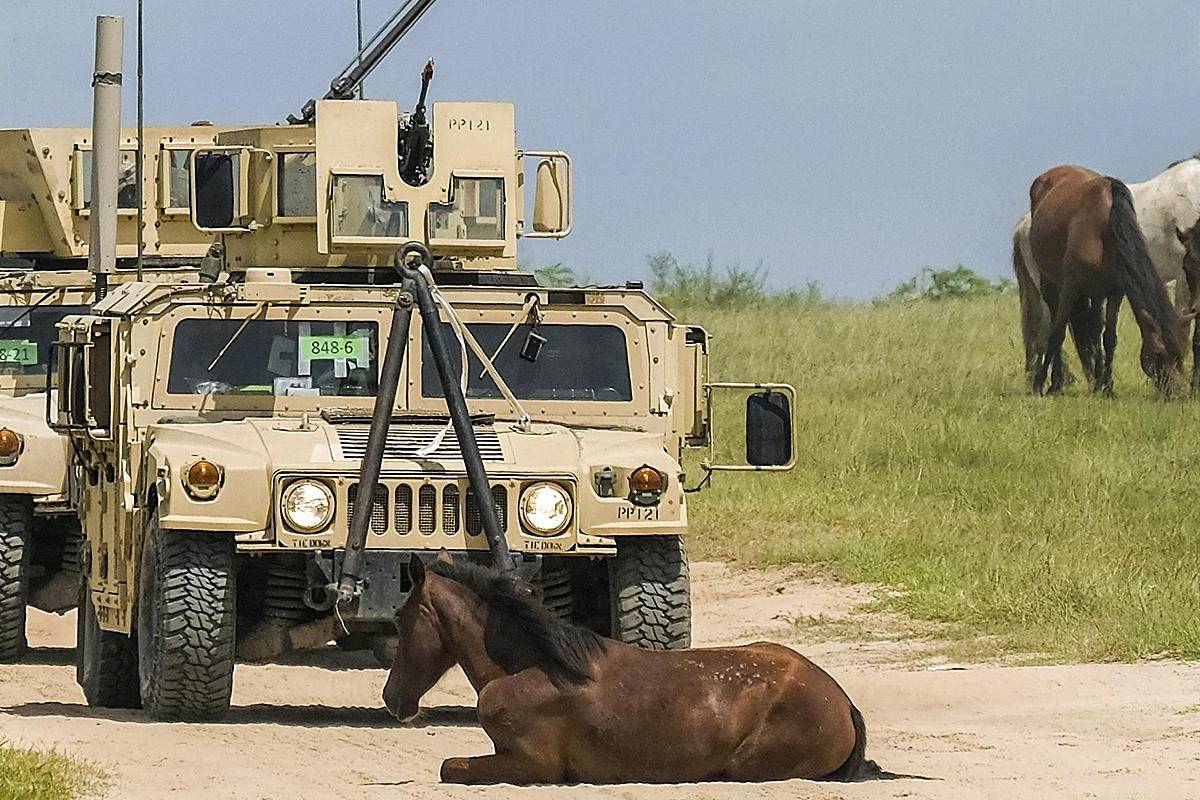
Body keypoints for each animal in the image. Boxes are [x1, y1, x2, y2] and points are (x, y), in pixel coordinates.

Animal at [386, 561, 892, 786]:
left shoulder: (532, 765)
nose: (392, 699)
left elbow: (450, 768)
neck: (535, 665)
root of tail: (842, 701)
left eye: (399, 618)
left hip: (747, 766)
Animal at [1012, 155, 1200, 388]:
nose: (1176, 391)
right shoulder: (1183, 280)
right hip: (1046, 283)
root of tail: (1024, 222)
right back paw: (1055, 381)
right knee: (1047, 327)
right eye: (1158, 355)